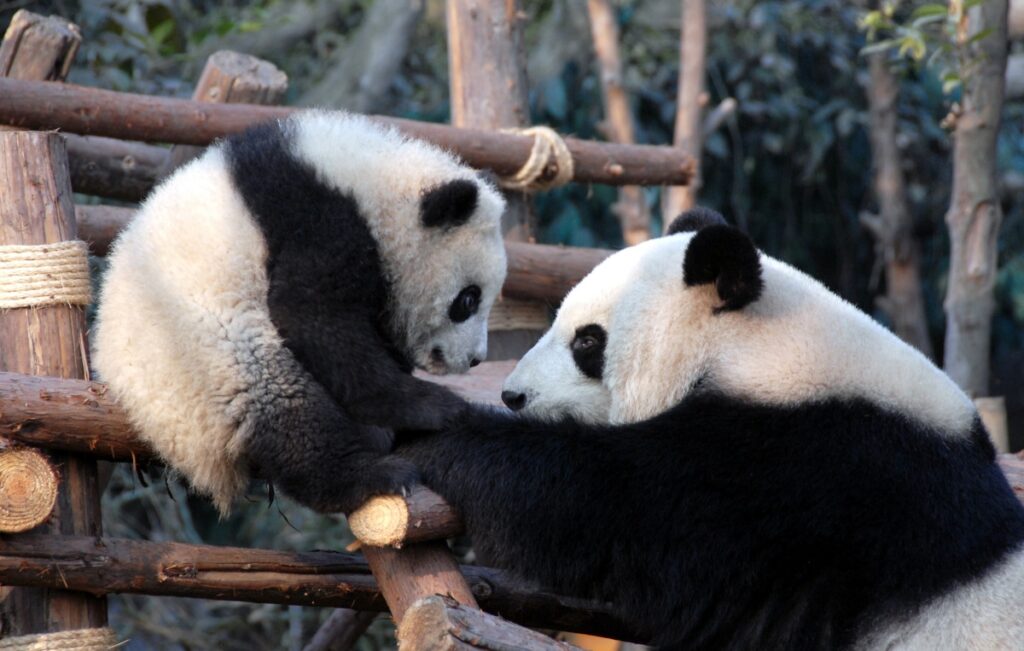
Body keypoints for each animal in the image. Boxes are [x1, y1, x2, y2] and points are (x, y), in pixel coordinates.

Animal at [96, 113, 507, 517]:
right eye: (468, 300)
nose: (475, 359)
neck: (381, 184)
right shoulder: (318, 221)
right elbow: (312, 317)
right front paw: (436, 407)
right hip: (203, 352)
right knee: (287, 409)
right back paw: (370, 474)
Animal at [395, 209, 1024, 651]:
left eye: (588, 341)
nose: (513, 395)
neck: (764, 344)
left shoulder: (800, 473)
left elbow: (603, 505)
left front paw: (432, 436)